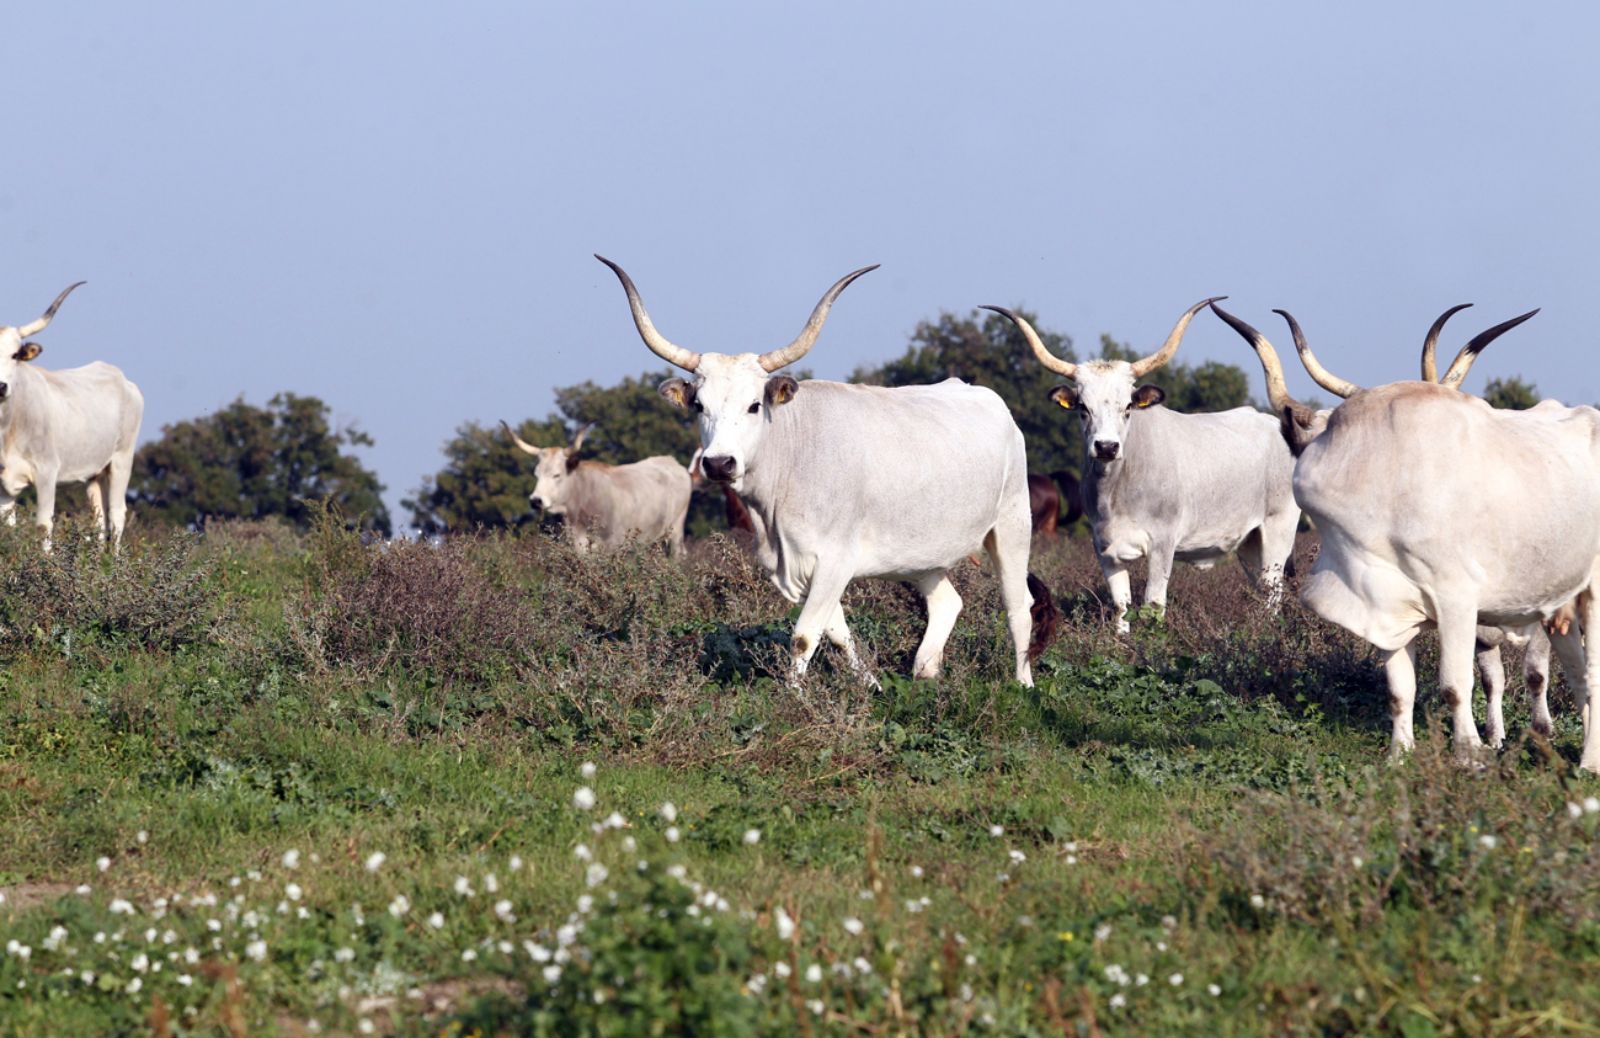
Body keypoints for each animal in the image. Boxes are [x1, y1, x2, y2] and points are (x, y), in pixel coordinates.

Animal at [0, 279, 142, 546]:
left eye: (14, 355)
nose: (1, 386)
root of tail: (120, 376)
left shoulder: (47, 473)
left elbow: (43, 527)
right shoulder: (3, 483)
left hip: (122, 459)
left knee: (117, 514)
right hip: (95, 472)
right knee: (99, 519)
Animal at [499, 422, 688, 553]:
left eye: (557, 475)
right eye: (536, 474)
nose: (536, 500)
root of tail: (671, 461)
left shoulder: (611, 543)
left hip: (676, 532)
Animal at [595, 254, 1056, 684]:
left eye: (754, 405)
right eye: (698, 406)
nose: (720, 463)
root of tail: (984, 395)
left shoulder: (836, 560)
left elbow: (805, 635)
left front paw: (793, 698)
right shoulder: (799, 568)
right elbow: (835, 632)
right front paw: (872, 685)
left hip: (1012, 525)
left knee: (1018, 606)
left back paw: (1023, 683)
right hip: (922, 554)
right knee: (948, 602)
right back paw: (925, 672)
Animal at [979, 302, 1305, 630]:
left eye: (1128, 407)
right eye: (1083, 408)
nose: (1106, 447)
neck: (1118, 490)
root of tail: (1277, 425)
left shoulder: (1163, 544)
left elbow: (1153, 604)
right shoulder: (1105, 549)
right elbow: (1121, 606)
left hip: (1278, 530)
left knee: (1272, 593)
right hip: (1250, 543)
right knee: (1260, 592)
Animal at [1209, 299, 1600, 767]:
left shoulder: (1457, 598)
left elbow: (1455, 683)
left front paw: (1470, 753)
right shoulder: (1385, 603)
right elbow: (1400, 690)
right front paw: (1399, 754)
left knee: (1590, 674)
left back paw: (1588, 762)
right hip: (1559, 603)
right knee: (1579, 677)